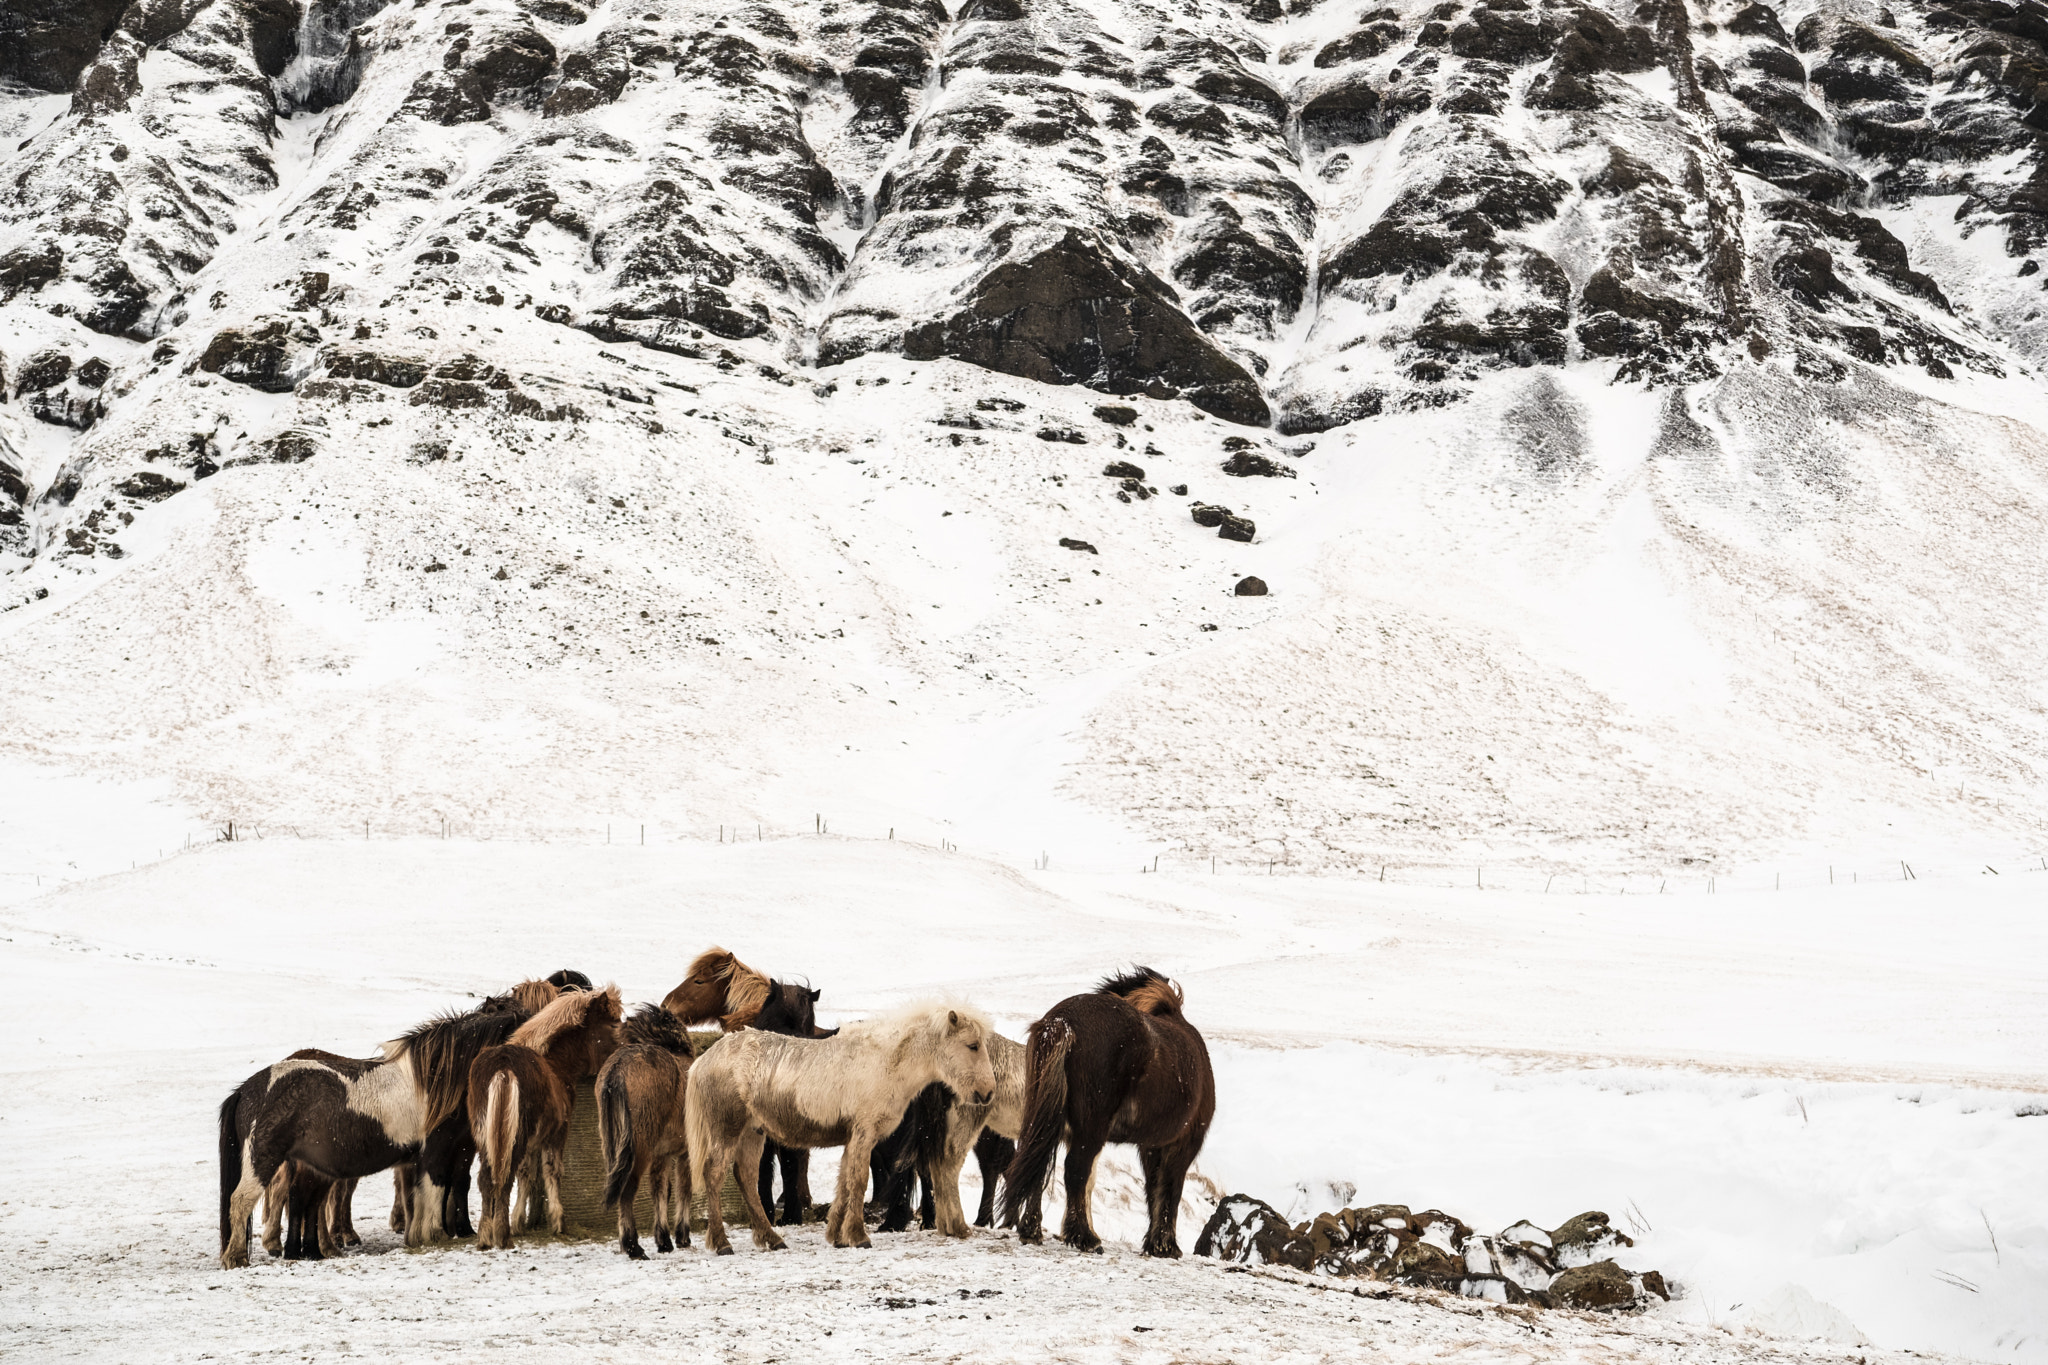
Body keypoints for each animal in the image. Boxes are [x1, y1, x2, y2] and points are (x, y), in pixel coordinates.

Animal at [220, 1002, 528, 1268]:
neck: (434, 1080)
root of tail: (246, 1089)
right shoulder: (437, 1151)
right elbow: (435, 1189)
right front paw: (435, 1235)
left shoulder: (434, 1156)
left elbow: (423, 1195)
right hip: (263, 1159)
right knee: (241, 1201)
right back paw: (236, 1258)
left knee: (301, 1202)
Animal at [468, 982, 618, 1252]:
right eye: (613, 1024)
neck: (555, 1065)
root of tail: (502, 1067)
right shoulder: (556, 1134)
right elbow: (552, 1170)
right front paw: (558, 1222)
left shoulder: (531, 1142)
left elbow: (527, 1174)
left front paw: (519, 1221)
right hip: (514, 1135)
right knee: (504, 1176)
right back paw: (502, 1236)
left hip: (485, 1136)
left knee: (486, 1178)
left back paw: (485, 1238)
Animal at [598, 1002, 700, 1260]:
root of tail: (616, 1072)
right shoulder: (684, 1152)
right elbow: (684, 1189)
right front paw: (681, 1236)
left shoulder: (661, 1154)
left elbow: (661, 1190)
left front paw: (664, 1240)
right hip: (638, 1147)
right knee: (627, 1190)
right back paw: (633, 1246)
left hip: (613, 1145)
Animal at [688, 998, 999, 1252]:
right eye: (972, 1046)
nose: (988, 1093)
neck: (886, 1062)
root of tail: (704, 1059)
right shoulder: (864, 1134)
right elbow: (858, 1182)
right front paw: (859, 1236)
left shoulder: (853, 1138)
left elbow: (845, 1183)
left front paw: (837, 1236)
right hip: (727, 1130)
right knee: (714, 1174)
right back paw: (721, 1243)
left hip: (752, 1133)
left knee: (747, 1178)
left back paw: (772, 1239)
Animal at [1003, 970, 1212, 1260]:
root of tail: (1062, 1022)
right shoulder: (1182, 1142)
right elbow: (1169, 1188)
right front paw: (1165, 1246)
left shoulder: (1149, 1146)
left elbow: (1149, 1188)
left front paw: (1154, 1244)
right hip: (1091, 1128)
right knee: (1074, 1169)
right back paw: (1086, 1238)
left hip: (1047, 1120)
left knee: (1039, 1163)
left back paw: (1032, 1231)